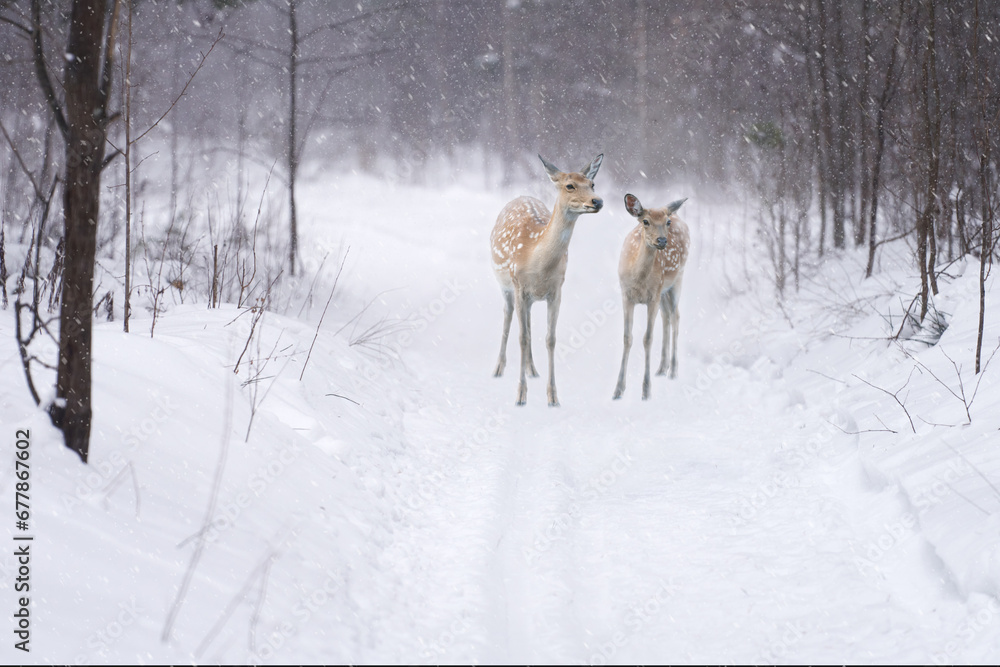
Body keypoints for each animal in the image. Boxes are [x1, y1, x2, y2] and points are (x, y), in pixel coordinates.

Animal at [490, 153, 604, 406]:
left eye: (592, 183)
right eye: (569, 185)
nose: (597, 201)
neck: (538, 261)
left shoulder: (556, 291)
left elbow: (550, 339)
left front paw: (553, 397)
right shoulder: (518, 285)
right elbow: (522, 338)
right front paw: (520, 396)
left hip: (531, 298)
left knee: (528, 322)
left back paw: (532, 370)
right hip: (505, 286)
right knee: (507, 316)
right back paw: (498, 368)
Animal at [613, 193, 690, 401]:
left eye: (667, 222)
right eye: (645, 221)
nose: (662, 240)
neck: (639, 280)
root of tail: (675, 211)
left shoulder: (652, 297)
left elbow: (647, 339)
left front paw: (646, 391)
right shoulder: (626, 295)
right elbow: (627, 338)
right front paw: (618, 390)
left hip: (677, 279)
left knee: (676, 316)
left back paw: (673, 370)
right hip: (663, 291)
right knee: (667, 316)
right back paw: (662, 368)